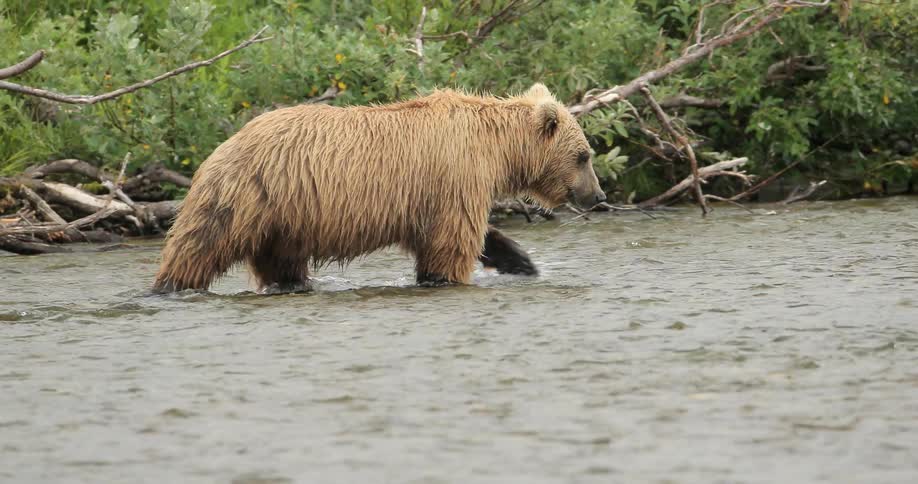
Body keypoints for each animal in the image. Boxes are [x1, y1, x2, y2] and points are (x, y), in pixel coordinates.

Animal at [153, 83, 605, 292]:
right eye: (585, 155)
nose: (598, 196)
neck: (496, 148)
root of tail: (222, 145)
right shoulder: (457, 175)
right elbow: (454, 242)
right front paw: (451, 277)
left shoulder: (433, 197)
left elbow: (459, 236)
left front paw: (522, 262)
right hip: (247, 196)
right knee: (199, 246)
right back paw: (168, 287)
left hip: (282, 222)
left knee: (280, 264)